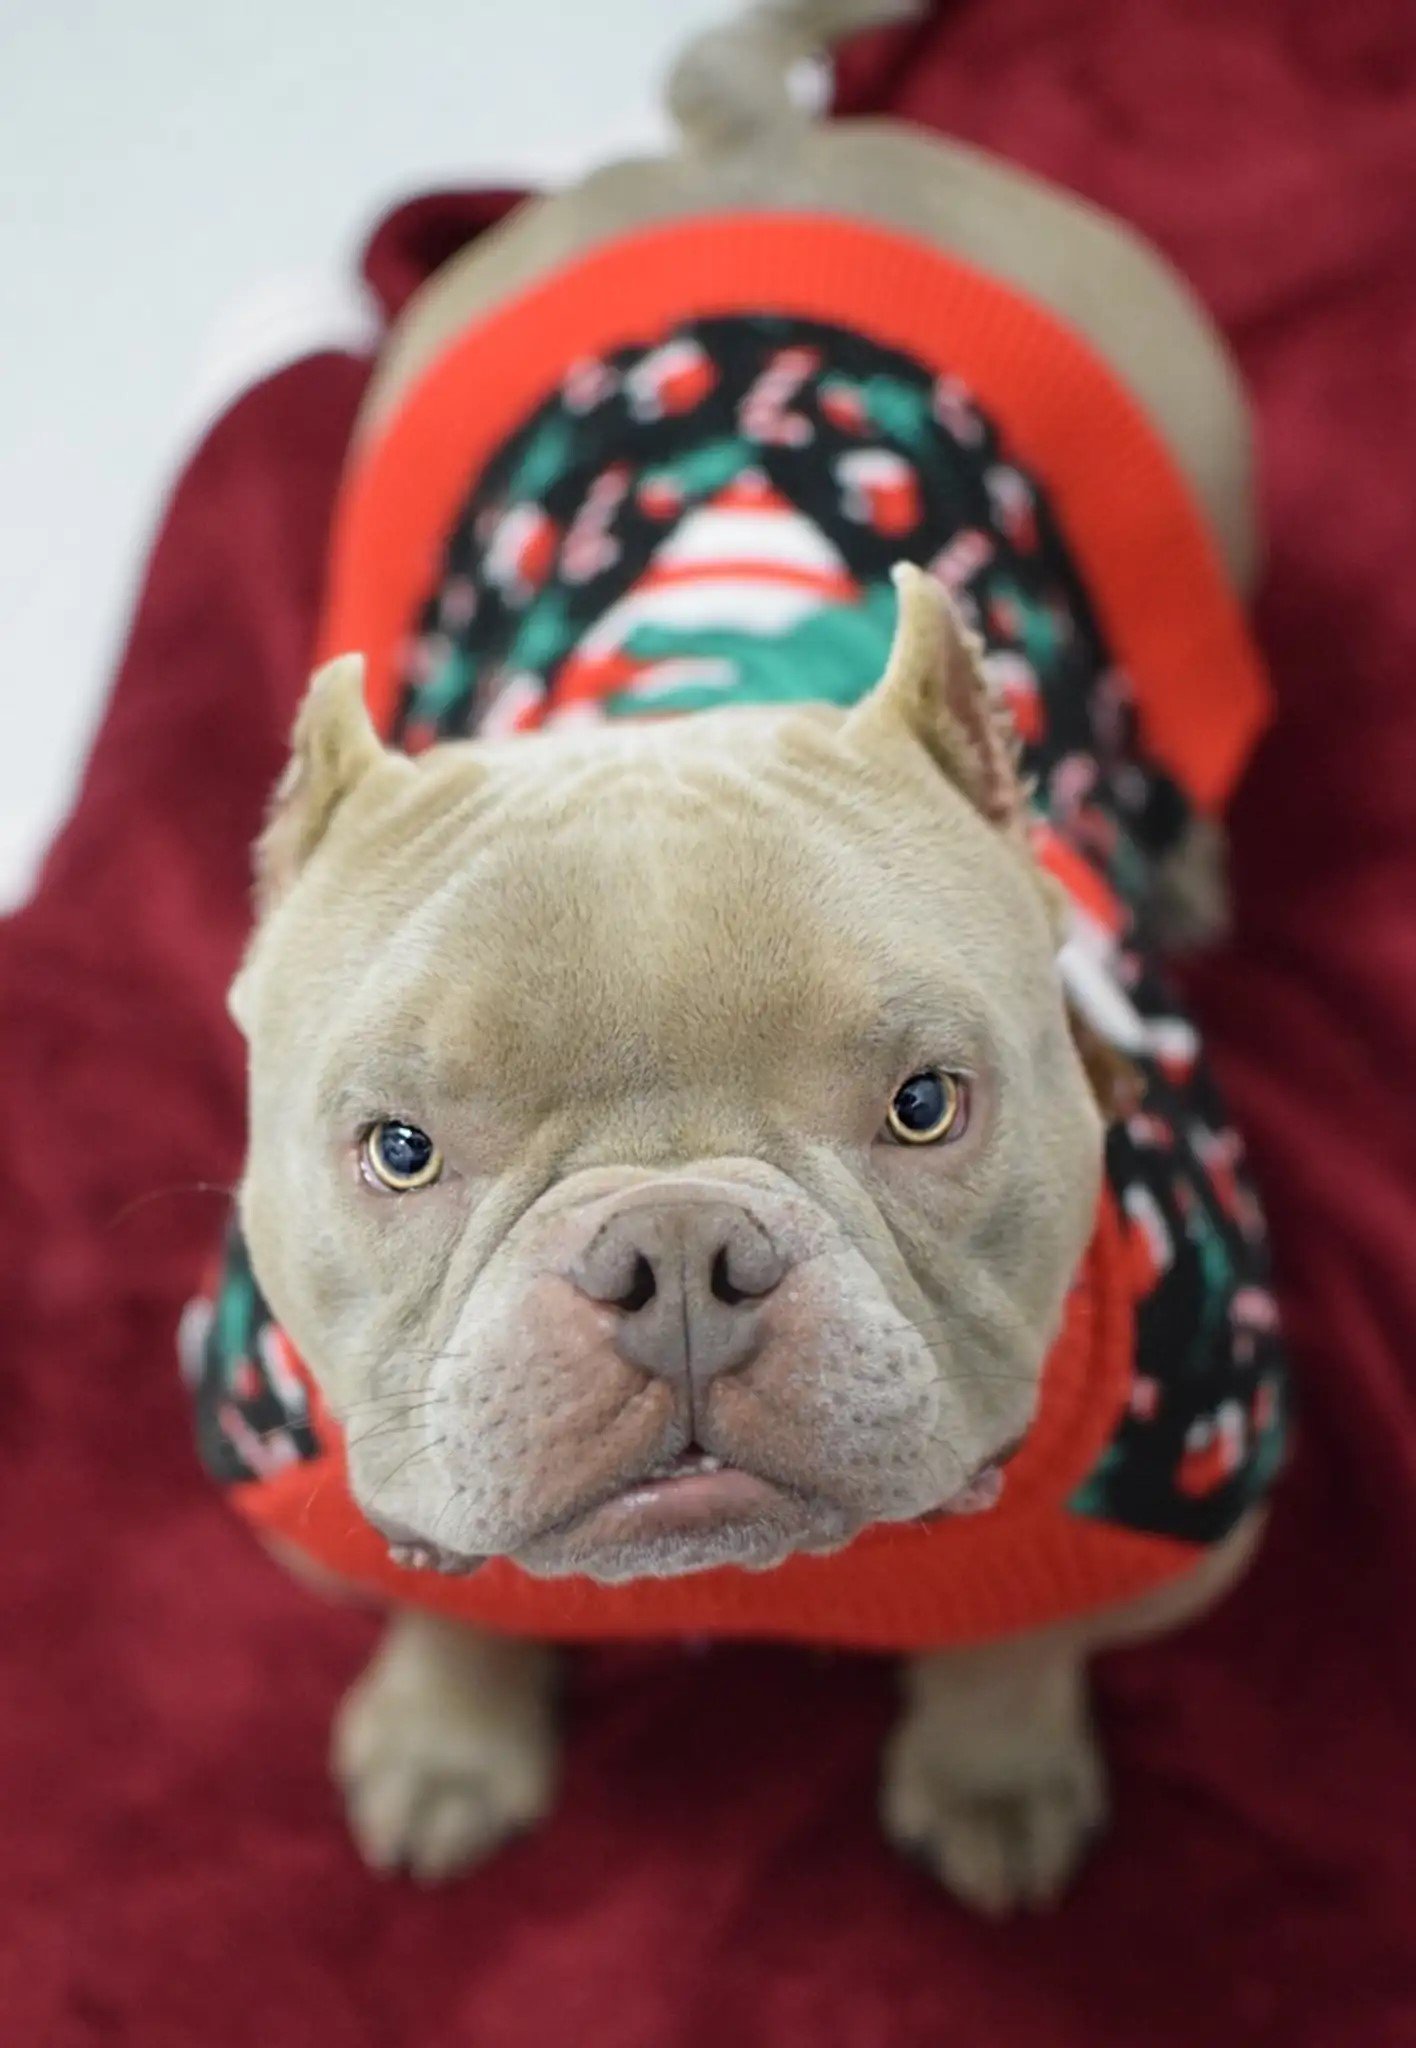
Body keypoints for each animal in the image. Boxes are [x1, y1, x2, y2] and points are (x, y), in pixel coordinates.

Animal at [185, 4, 1286, 1916]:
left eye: (926, 1106)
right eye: (396, 1148)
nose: (679, 1256)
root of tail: (743, 144)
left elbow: (1023, 1642)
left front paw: (994, 1771)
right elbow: (439, 1597)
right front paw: (445, 1738)